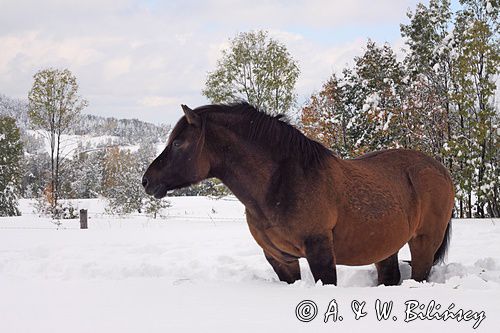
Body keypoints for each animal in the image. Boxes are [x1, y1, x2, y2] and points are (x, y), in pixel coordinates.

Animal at [143, 103, 456, 286]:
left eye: (179, 144)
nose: (147, 181)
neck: (280, 183)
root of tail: (439, 168)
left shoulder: (319, 251)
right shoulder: (280, 258)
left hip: (424, 242)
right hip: (385, 246)